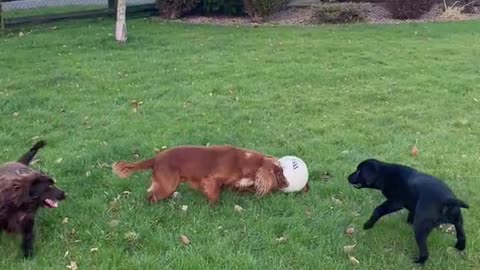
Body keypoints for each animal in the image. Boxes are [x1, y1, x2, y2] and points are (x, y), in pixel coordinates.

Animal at [112, 144, 288, 204]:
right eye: (279, 174)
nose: (287, 184)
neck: (243, 160)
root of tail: (156, 158)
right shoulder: (212, 179)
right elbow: (214, 195)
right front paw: (213, 207)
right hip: (169, 183)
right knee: (150, 196)